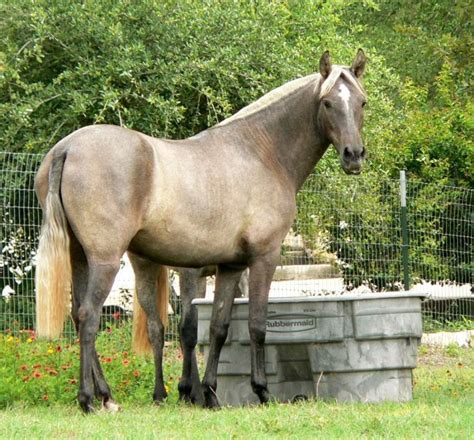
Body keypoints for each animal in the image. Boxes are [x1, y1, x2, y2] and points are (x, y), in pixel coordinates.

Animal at [35, 49, 368, 412]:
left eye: (362, 102)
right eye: (327, 103)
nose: (354, 155)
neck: (262, 152)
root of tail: (67, 148)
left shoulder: (230, 266)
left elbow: (219, 328)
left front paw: (209, 392)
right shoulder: (264, 258)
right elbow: (256, 325)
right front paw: (261, 391)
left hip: (80, 258)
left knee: (80, 317)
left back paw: (109, 395)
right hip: (105, 261)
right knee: (90, 316)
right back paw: (92, 399)